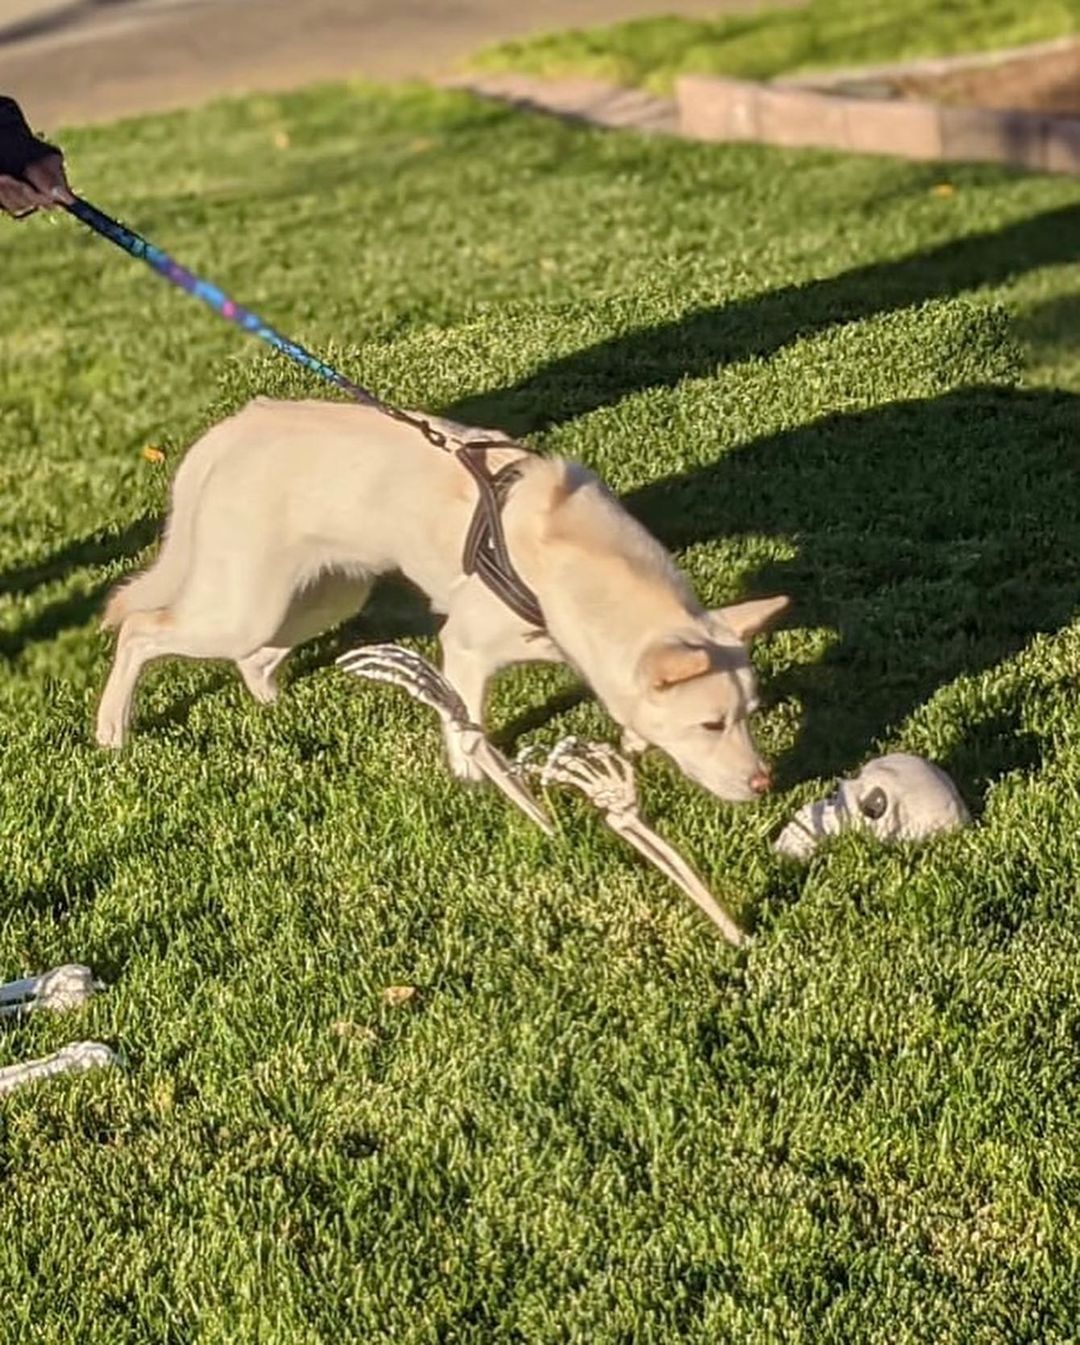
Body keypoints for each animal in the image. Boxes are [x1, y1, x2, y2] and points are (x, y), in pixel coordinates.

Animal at [99, 398, 785, 796]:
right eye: (710, 723)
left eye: (751, 714)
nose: (764, 782)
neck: (572, 563)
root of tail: (232, 429)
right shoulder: (465, 646)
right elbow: (468, 726)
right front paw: (473, 782)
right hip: (243, 605)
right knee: (140, 631)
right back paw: (112, 729)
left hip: (326, 593)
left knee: (256, 657)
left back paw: (273, 704)